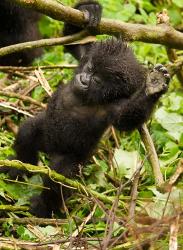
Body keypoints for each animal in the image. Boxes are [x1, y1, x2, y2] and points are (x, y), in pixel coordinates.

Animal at [7, 0, 170, 216]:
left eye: (98, 80)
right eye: (90, 68)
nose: (84, 79)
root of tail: (50, 150)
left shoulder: (113, 107)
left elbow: (126, 120)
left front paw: (152, 89)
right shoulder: (86, 54)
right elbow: (72, 43)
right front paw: (90, 10)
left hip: (74, 159)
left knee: (59, 175)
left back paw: (44, 207)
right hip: (45, 138)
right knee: (29, 131)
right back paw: (21, 168)